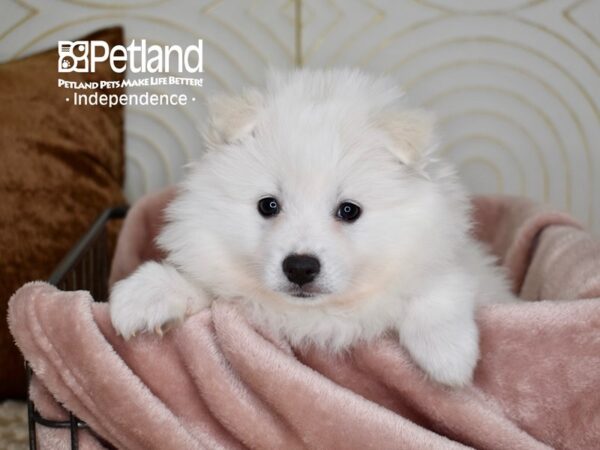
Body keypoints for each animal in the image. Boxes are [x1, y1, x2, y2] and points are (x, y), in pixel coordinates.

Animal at [109, 68, 510, 384]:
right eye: (268, 205)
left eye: (349, 210)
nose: (300, 267)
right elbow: (203, 284)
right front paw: (144, 295)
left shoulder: (450, 257)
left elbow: (441, 287)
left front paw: (448, 356)